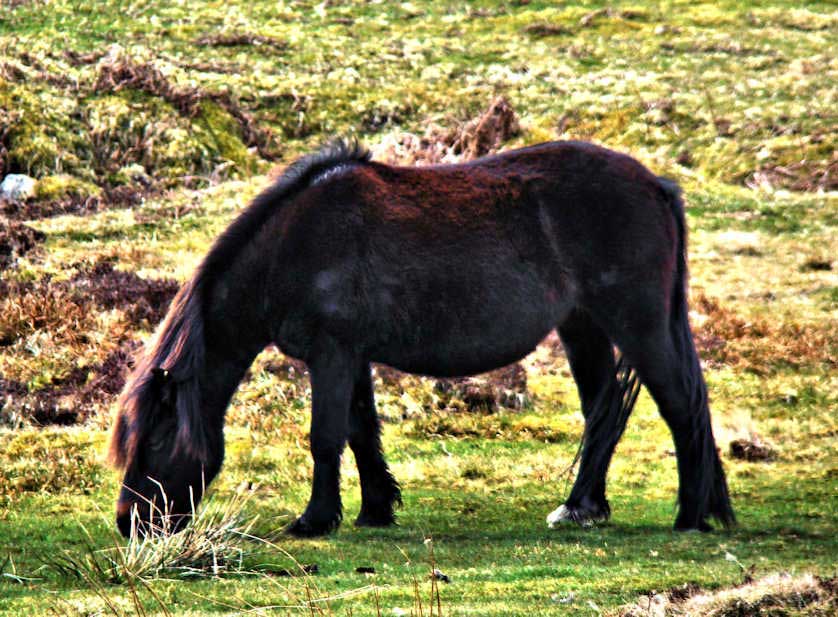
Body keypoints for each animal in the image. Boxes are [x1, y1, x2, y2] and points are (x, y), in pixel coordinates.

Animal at [110, 139, 735, 538]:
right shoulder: (351, 356)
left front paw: (314, 521)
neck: (293, 247)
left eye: (158, 438)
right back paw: (582, 508)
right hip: (584, 327)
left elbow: (325, 437)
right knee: (601, 415)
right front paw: (374, 509)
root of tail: (656, 186)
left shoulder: (331, 353)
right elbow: (361, 432)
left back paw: (690, 516)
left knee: (680, 407)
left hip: (639, 325)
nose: (128, 523)